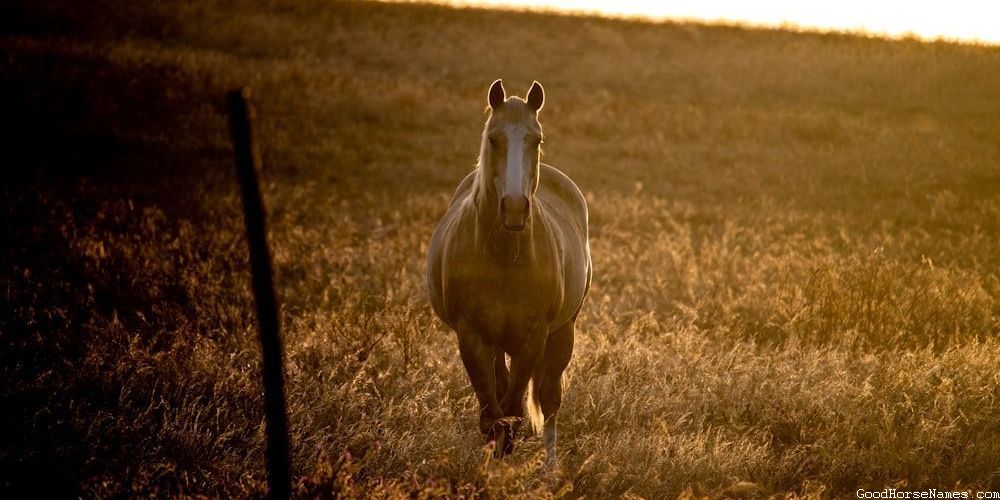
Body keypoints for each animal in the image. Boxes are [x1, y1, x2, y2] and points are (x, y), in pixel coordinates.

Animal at [426, 79, 592, 466]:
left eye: (537, 140)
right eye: (493, 139)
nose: (515, 208)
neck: (503, 256)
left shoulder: (534, 337)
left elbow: (514, 409)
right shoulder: (472, 337)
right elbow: (492, 412)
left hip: (561, 333)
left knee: (549, 401)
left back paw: (550, 467)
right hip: (498, 345)